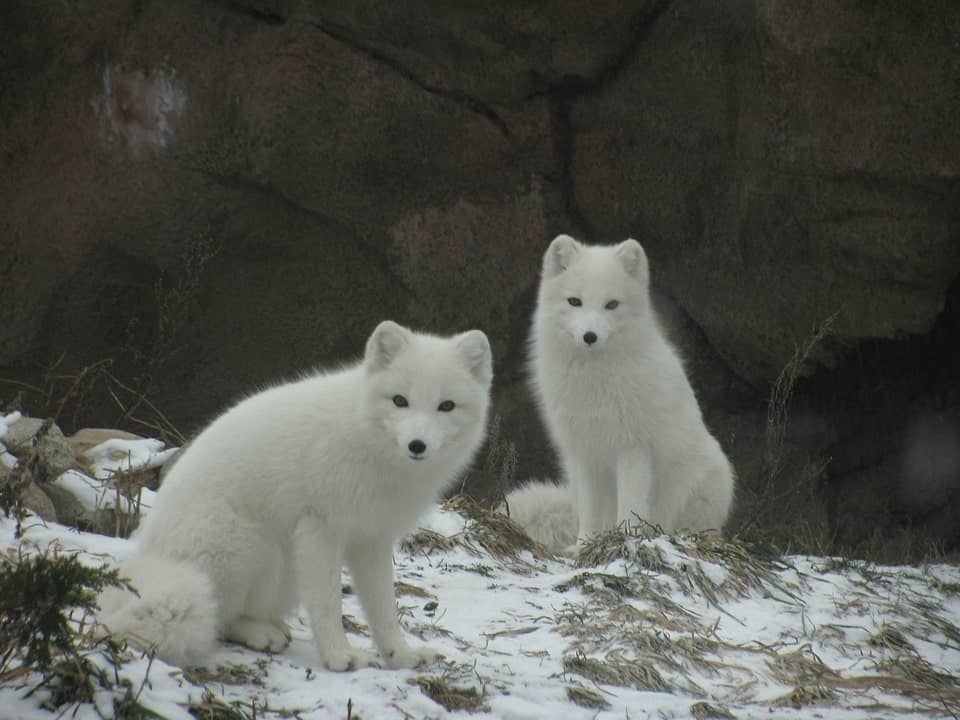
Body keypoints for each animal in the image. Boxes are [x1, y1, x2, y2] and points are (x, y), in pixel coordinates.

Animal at [97, 320, 492, 668]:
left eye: (446, 406)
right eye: (399, 401)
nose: (417, 445)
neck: (369, 443)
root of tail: (150, 559)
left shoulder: (373, 539)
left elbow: (383, 609)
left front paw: (401, 655)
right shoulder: (321, 528)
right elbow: (329, 604)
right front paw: (339, 656)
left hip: (286, 568)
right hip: (252, 547)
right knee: (220, 619)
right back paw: (261, 634)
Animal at [510, 236, 736, 552]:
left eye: (612, 304)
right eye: (574, 301)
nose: (589, 337)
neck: (594, 382)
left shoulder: (633, 448)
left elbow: (630, 507)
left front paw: (624, 541)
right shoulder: (585, 451)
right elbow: (590, 513)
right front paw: (584, 546)